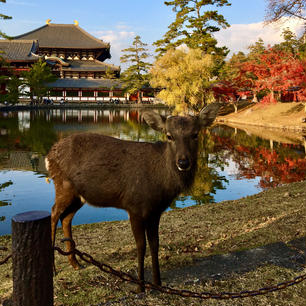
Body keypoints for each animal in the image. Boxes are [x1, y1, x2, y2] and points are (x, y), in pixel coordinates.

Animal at [45, 101, 220, 290]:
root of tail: (49, 155)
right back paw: (54, 269)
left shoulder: (155, 211)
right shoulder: (134, 206)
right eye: (169, 136)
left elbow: (155, 244)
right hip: (63, 185)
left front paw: (158, 283)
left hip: (79, 195)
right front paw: (140, 286)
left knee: (66, 218)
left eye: (195, 134)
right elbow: (141, 245)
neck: (161, 185)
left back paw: (76, 264)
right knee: (53, 213)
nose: (183, 162)